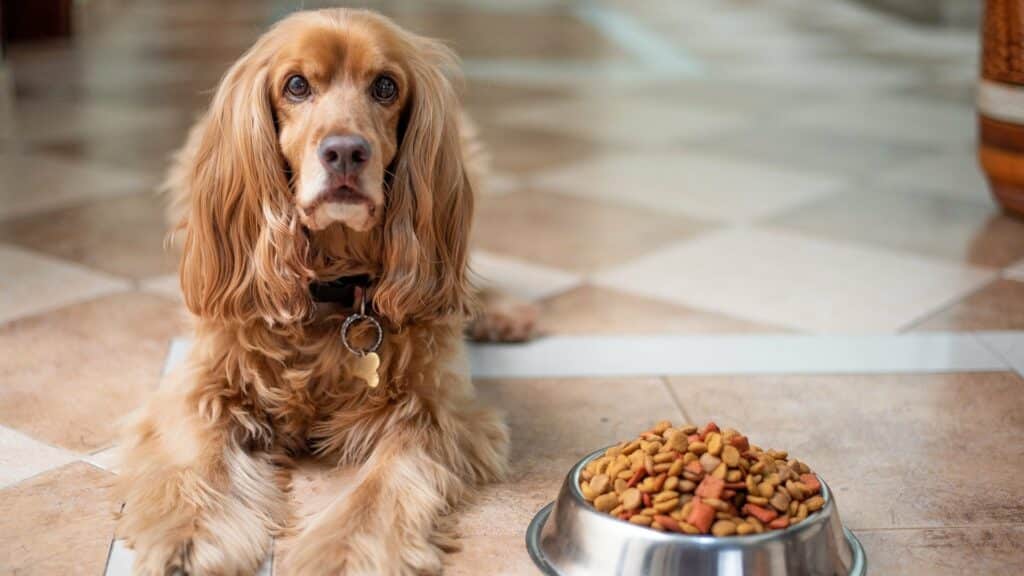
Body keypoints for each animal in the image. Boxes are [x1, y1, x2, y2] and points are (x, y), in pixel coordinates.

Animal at [117, 10, 520, 573]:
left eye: (385, 86)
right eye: (297, 85)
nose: (345, 152)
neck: (331, 289)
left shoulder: (432, 411)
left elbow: (379, 490)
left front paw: (345, 553)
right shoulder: (203, 384)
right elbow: (200, 458)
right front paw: (187, 536)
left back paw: (500, 313)